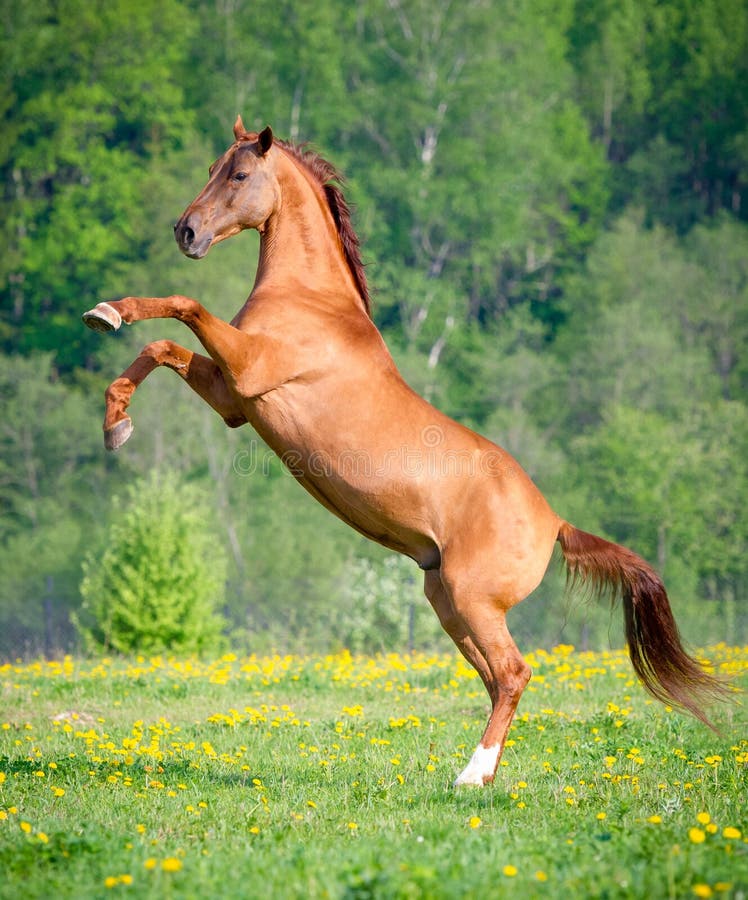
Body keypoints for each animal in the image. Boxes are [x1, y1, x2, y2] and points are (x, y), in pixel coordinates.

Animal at [82, 119, 724, 788]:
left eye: (239, 174)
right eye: (211, 167)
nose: (186, 231)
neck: (311, 300)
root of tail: (555, 522)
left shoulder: (248, 368)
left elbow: (183, 306)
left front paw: (108, 314)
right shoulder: (234, 398)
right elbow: (160, 347)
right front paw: (115, 418)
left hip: (472, 600)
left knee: (514, 674)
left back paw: (470, 776)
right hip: (447, 604)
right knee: (497, 681)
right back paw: (483, 776)